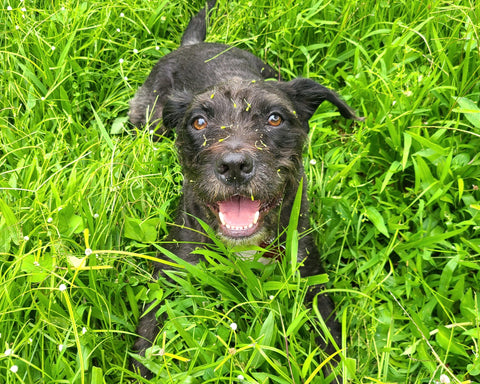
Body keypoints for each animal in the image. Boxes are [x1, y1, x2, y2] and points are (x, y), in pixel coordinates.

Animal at [129, 1, 362, 380]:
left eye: (275, 118)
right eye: (199, 122)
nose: (234, 166)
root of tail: (192, 45)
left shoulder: (310, 278)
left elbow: (330, 343)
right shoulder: (170, 274)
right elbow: (147, 342)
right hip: (147, 119)